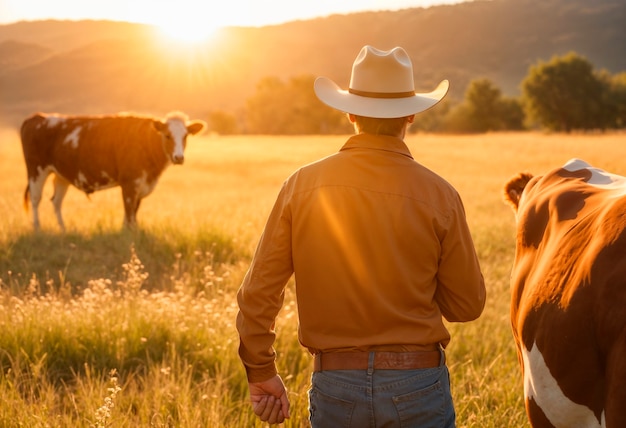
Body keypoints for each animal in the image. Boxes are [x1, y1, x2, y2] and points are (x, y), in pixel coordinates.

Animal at [18, 111, 205, 231]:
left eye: (185, 136)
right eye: (167, 135)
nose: (178, 157)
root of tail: (37, 117)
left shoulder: (140, 185)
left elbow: (134, 210)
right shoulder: (130, 183)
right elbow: (129, 210)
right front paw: (129, 232)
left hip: (61, 175)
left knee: (56, 201)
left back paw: (63, 230)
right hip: (36, 170)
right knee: (36, 199)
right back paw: (38, 229)